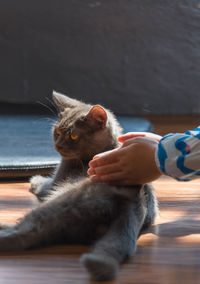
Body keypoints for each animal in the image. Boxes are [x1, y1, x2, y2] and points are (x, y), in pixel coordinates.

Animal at [0, 91, 158, 282]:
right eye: (57, 132)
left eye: (73, 136)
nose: (58, 145)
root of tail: (130, 202)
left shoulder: (57, 180)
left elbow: (45, 185)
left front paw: (35, 179)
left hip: (60, 203)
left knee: (26, 234)